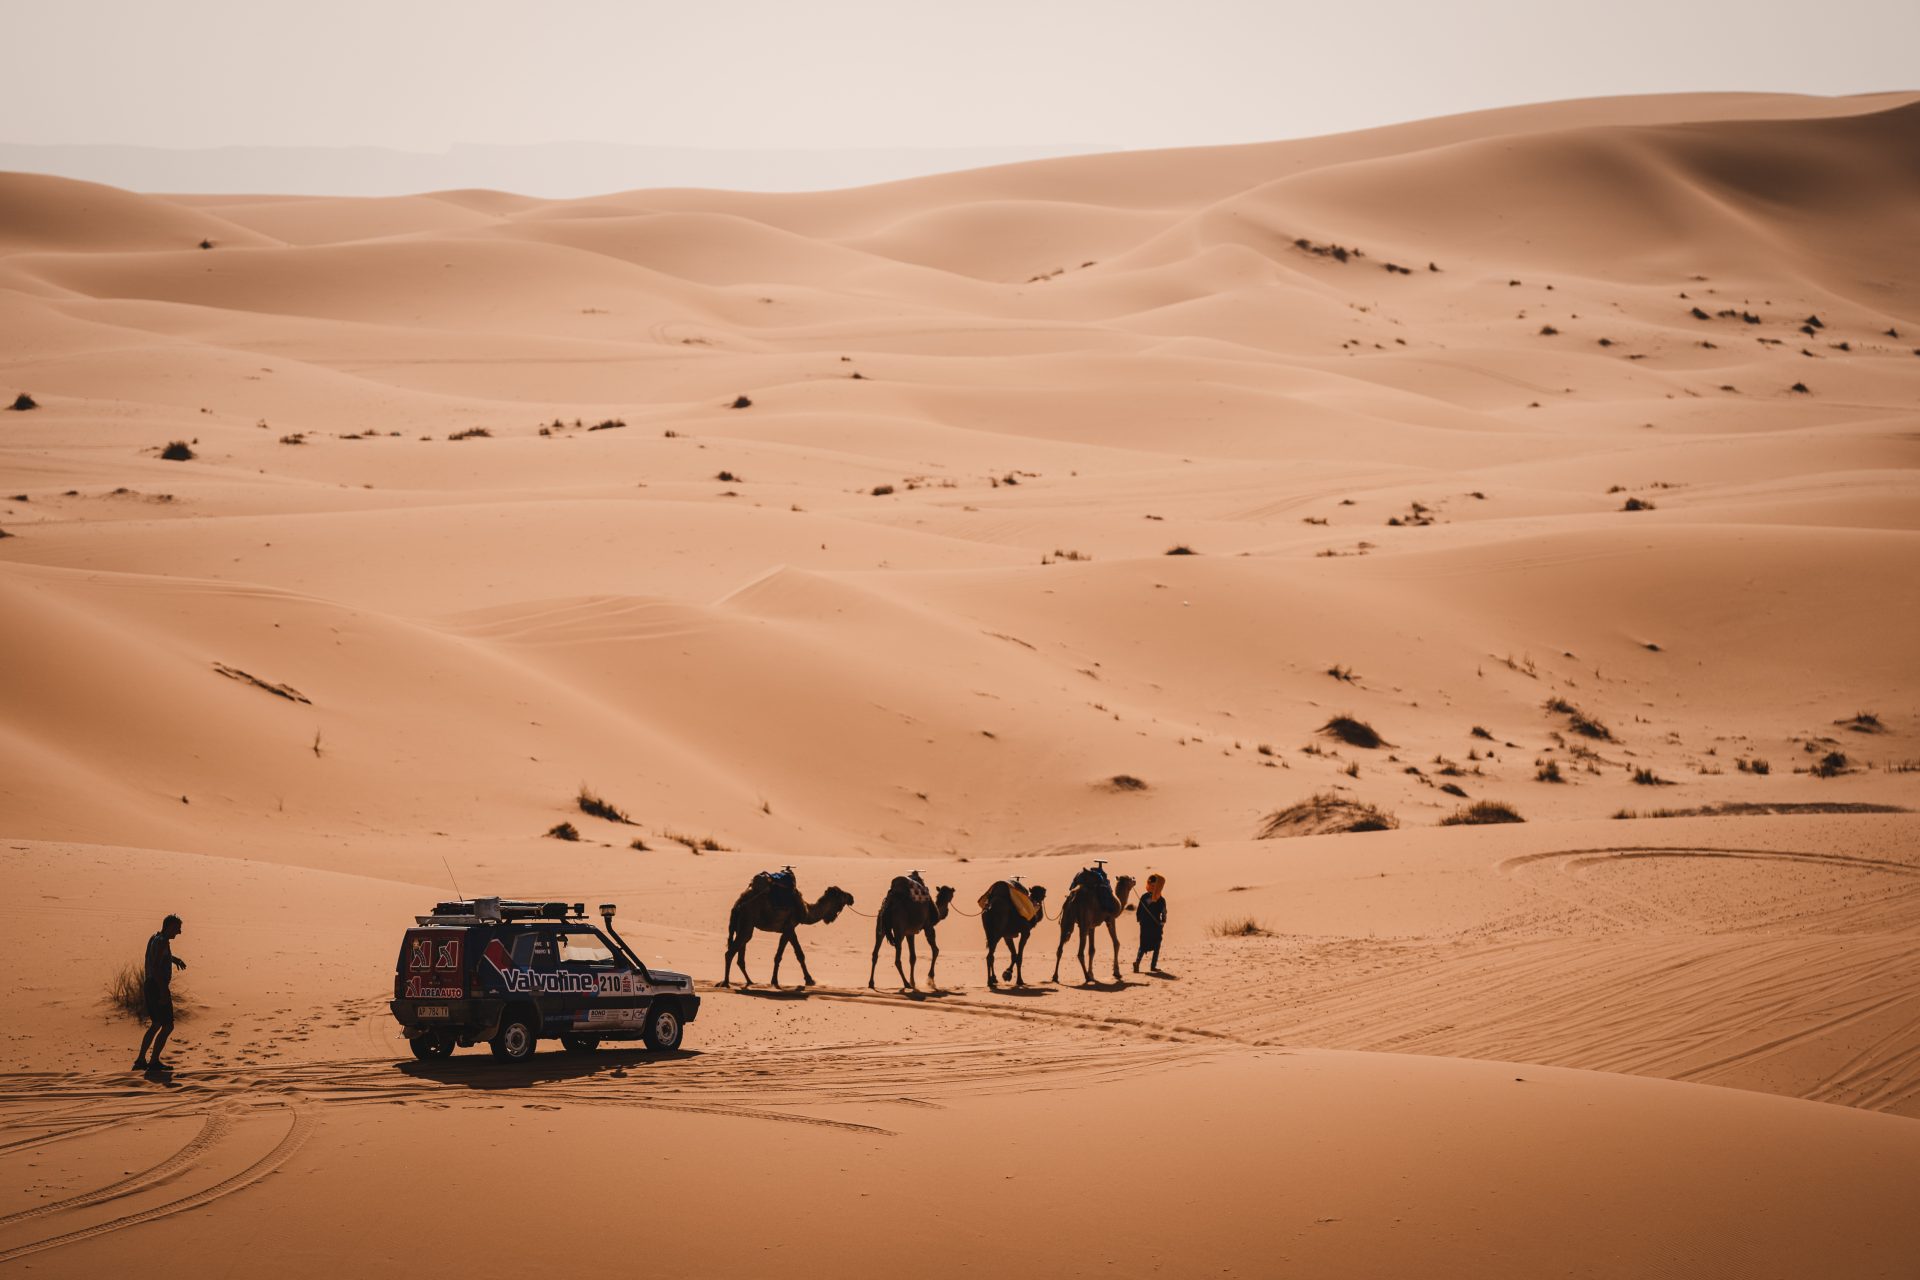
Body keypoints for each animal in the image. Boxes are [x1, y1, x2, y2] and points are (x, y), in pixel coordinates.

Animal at [721, 871, 856, 990]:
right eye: (842, 894)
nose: (851, 897)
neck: (805, 910)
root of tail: (738, 904)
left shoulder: (790, 929)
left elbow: (796, 955)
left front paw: (807, 980)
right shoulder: (789, 927)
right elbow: (783, 955)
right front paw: (777, 981)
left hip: (743, 926)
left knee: (740, 957)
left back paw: (750, 981)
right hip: (747, 923)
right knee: (730, 953)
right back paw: (726, 983)